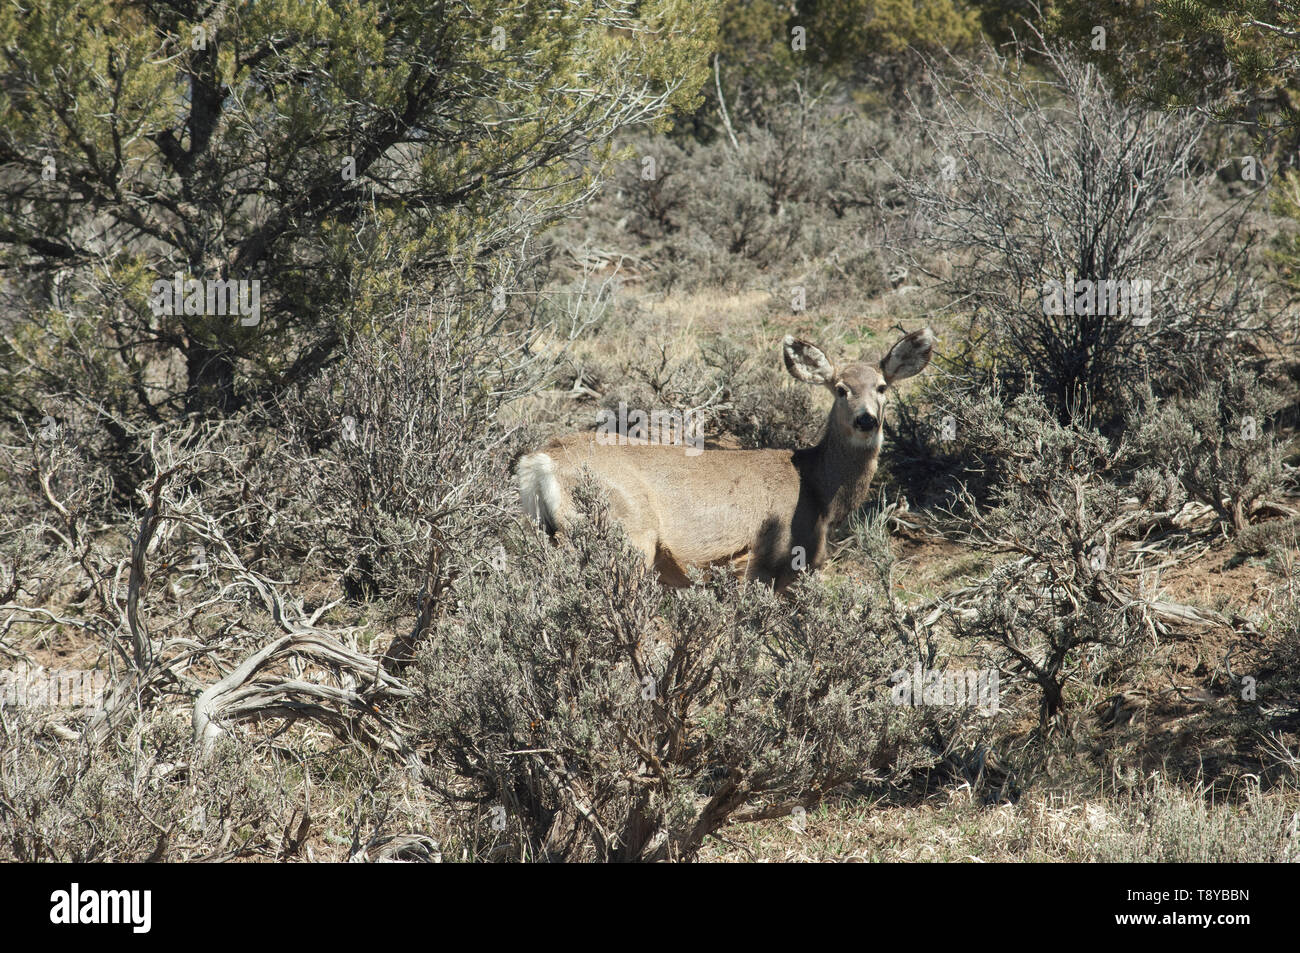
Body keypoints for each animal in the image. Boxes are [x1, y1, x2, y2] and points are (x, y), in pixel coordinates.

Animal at [517, 327, 935, 590]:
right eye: (841, 389)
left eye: (882, 387)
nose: (867, 419)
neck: (818, 491)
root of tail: (542, 460)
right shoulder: (767, 561)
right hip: (627, 533)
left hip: (546, 532)